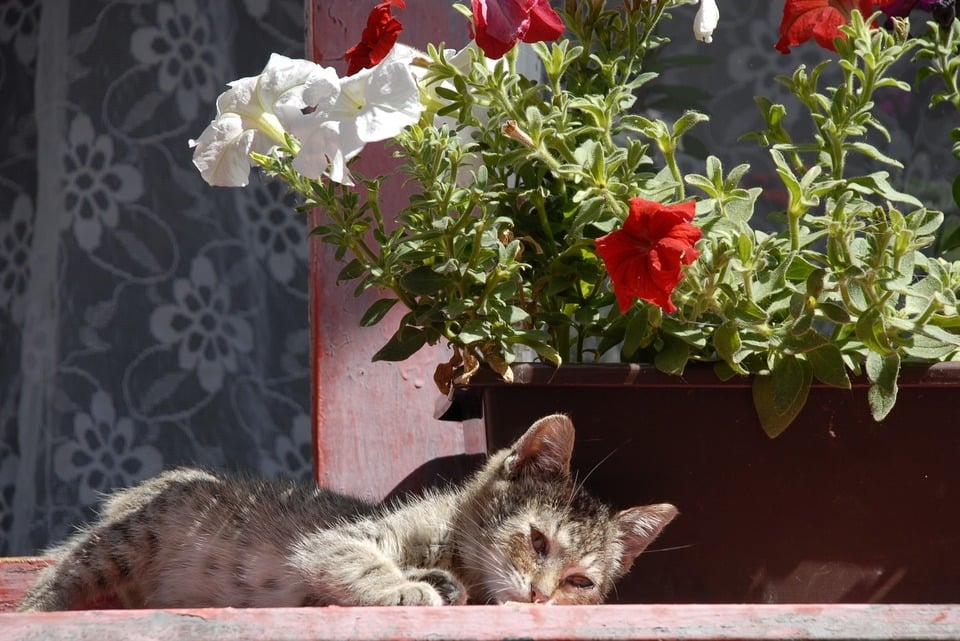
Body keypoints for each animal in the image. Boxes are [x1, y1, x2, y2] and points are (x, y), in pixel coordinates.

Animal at [16, 412, 676, 608]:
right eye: (538, 541)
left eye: (580, 582)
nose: (540, 596)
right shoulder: (339, 539)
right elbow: (361, 562)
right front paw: (408, 587)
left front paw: (438, 584)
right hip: (127, 542)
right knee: (54, 583)